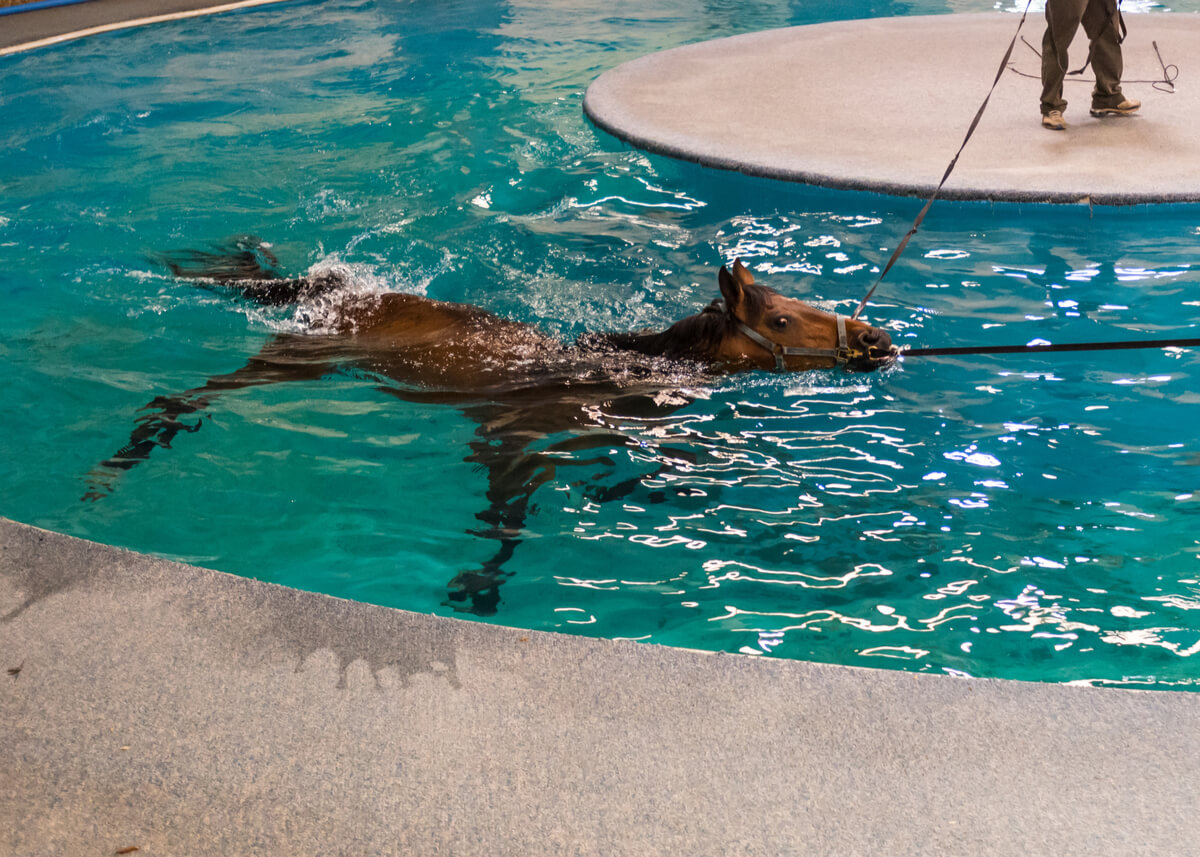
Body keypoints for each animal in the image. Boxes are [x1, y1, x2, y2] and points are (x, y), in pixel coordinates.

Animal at [82, 238, 892, 614]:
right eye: (782, 320)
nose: (877, 339)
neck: (615, 375)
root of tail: (326, 288)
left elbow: (633, 481)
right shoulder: (513, 439)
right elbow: (506, 521)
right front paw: (477, 586)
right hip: (294, 362)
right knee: (192, 395)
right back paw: (127, 456)